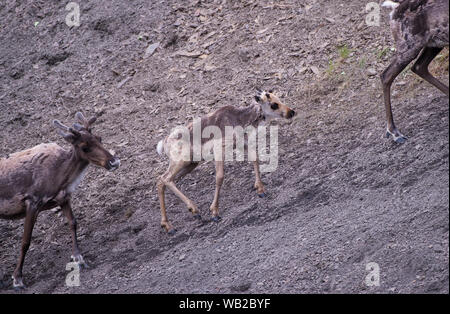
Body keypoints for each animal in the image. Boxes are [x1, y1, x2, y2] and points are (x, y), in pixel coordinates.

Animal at [0, 111, 119, 288]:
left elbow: (73, 222)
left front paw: (79, 258)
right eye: (84, 147)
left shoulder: (63, 198)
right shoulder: (32, 201)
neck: (60, 177)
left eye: (100, 138)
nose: (114, 162)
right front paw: (17, 278)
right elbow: (25, 241)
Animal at [156, 89, 298, 234]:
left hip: (191, 164)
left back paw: (169, 224)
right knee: (164, 178)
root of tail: (164, 143)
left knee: (162, 181)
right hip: (181, 161)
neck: (241, 119)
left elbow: (255, 158)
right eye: (274, 104)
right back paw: (192, 210)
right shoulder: (220, 149)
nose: (291, 112)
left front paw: (261, 189)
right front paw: (214, 212)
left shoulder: (242, 144)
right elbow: (220, 177)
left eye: (279, 99)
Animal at [382, 0, 448, 142]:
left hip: (434, 43)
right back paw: (394, 132)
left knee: (418, 66)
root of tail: (393, 10)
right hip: (409, 46)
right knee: (386, 75)